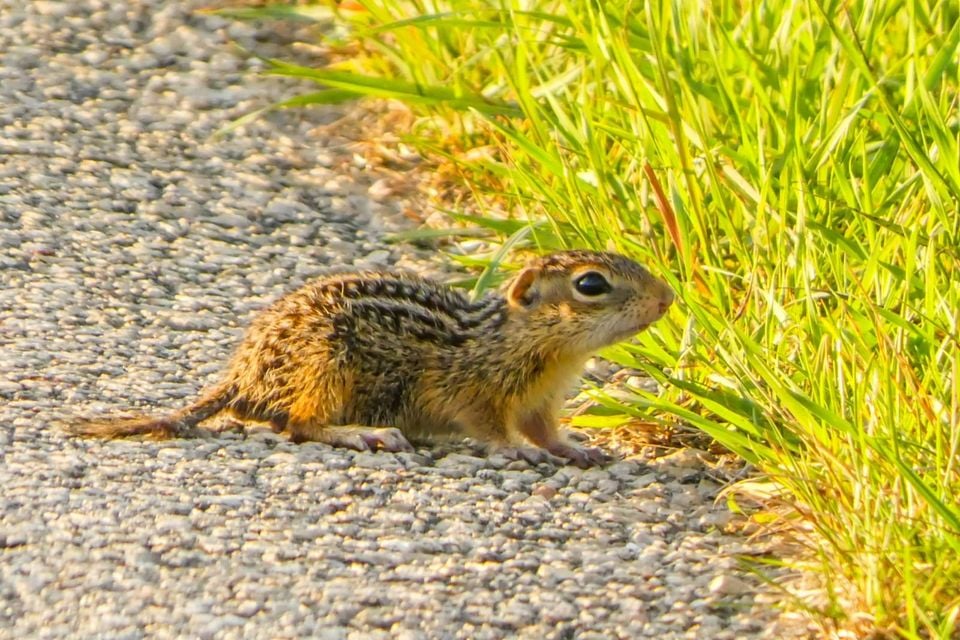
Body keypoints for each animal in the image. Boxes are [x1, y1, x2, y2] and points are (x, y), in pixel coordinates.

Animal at [68, 250, 674, 467]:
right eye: (591, 284)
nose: (667, 298)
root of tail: (242, 377)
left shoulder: (540, 401)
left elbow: (546, 430)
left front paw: (577, 449)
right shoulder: (474, 390)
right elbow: (490, 429)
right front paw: (517, 452)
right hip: (326, 365)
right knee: (299, 425)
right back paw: (366, 433)